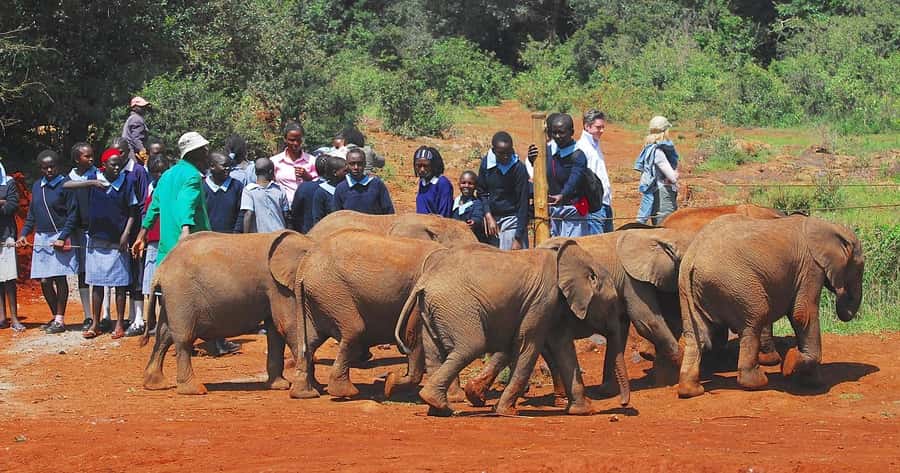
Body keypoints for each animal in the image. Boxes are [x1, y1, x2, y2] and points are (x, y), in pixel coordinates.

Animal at [142, 230, 313, 395]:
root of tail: (160, 269)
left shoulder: (274, 288)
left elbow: (276, 333)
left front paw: (280, 386)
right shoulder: (278, 287)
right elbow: (289, 326)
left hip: (172, 297)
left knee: (164, 336)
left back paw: (155, 385)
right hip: (180, 294)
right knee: (184, 338)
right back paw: (194, 390)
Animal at [278, 229, 454, 400]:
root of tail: (305, 264)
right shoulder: (421, 295)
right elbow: (414, 335)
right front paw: (390, 385)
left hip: (316, 296)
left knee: (311, 340)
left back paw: (305, 394)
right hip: (331, 291)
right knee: (354, 330)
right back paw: (345, 393)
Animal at [394, 240, 627, 416]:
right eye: (612, 303)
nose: (624, 404)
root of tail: (425, 280)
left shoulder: (553, 306)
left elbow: (563, 347)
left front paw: (584, 410)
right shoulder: (542, 301)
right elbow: (528, 346)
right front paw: (506, 412)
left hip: (431, 310)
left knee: (435, 354)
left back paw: (437, 409)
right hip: (456, 307)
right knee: (470, 347)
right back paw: (439, 404)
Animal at [677, 214, 864, 398]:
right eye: (859, 268)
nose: (841, 292)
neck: (827, 225)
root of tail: (693, 256)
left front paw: (810, 380)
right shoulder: (811, 267)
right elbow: (802, 314)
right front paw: (793, 367)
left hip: (687, 288)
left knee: (696, 334)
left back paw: (691, 390)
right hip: (734, 283)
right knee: (755, 319)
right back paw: (756, 382)